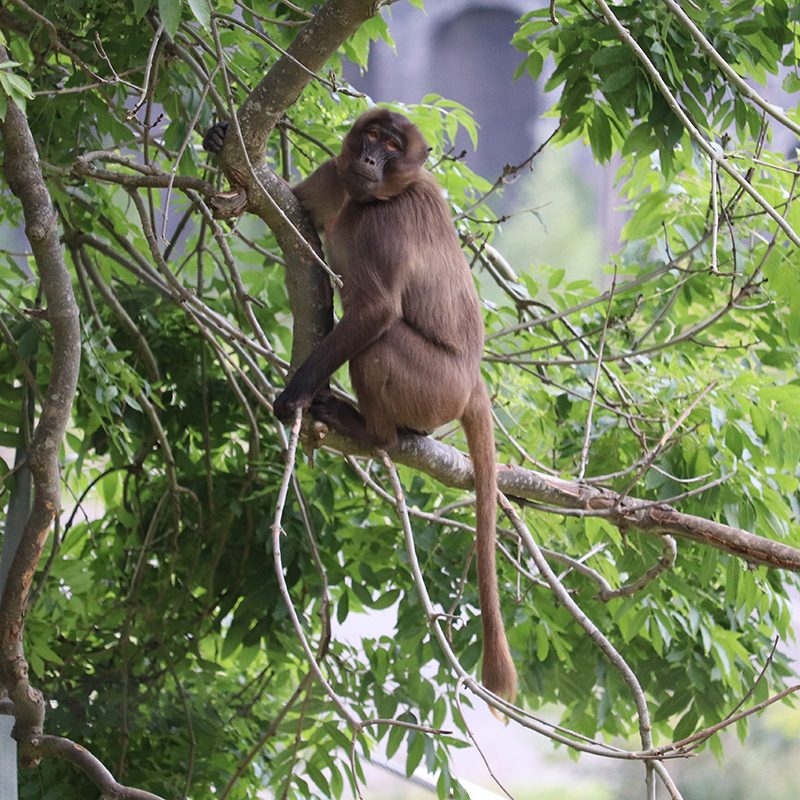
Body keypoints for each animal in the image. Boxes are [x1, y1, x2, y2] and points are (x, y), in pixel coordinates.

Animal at [205, 108, 520, 708]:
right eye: (371, 138)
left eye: (393, 147)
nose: (372, 158)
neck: (376, 195)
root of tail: (472, 381)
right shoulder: (338, 174)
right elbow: (291, 202)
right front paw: (221, 147)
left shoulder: (386, 221)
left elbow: (375, 312)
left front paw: (296, 395)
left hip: (433, 384)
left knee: (380, 342)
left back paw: (375, 433)